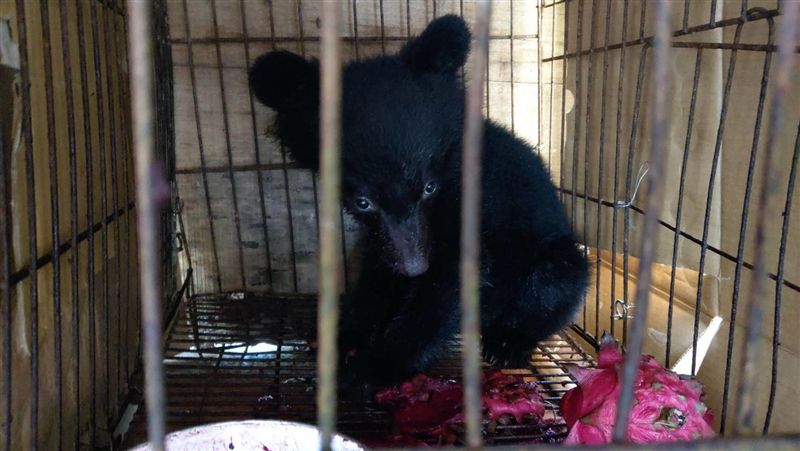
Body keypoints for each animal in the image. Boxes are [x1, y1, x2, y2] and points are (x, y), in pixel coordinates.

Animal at [248, 15, 589, 390]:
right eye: (363, 201)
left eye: (429, 188)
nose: (415, 268)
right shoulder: (385, 235)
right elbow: (377, 270)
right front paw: (342, 335)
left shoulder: (474, 198)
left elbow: (453, 278)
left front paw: (374, 369)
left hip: (551, 261)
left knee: (554, 286)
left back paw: (507, 342)